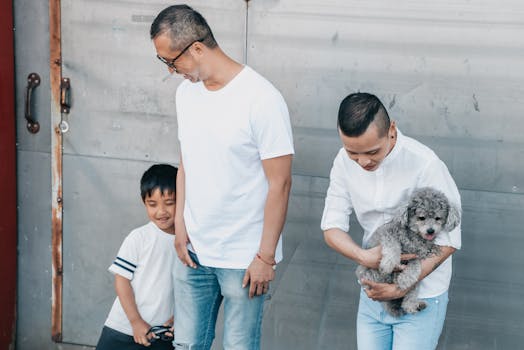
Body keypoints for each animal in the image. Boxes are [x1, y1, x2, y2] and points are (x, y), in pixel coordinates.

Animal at [356, 189, 458, 318]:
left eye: (438, 218)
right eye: (421, 217)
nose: (431, 231)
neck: (414, 236)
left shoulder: (418, 255)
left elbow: (415, 266)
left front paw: (406, 278)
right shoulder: (388, 233)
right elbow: (393, 247)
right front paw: (389, 264)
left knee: (411, 290)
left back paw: (414, 304)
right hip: (371, 275)